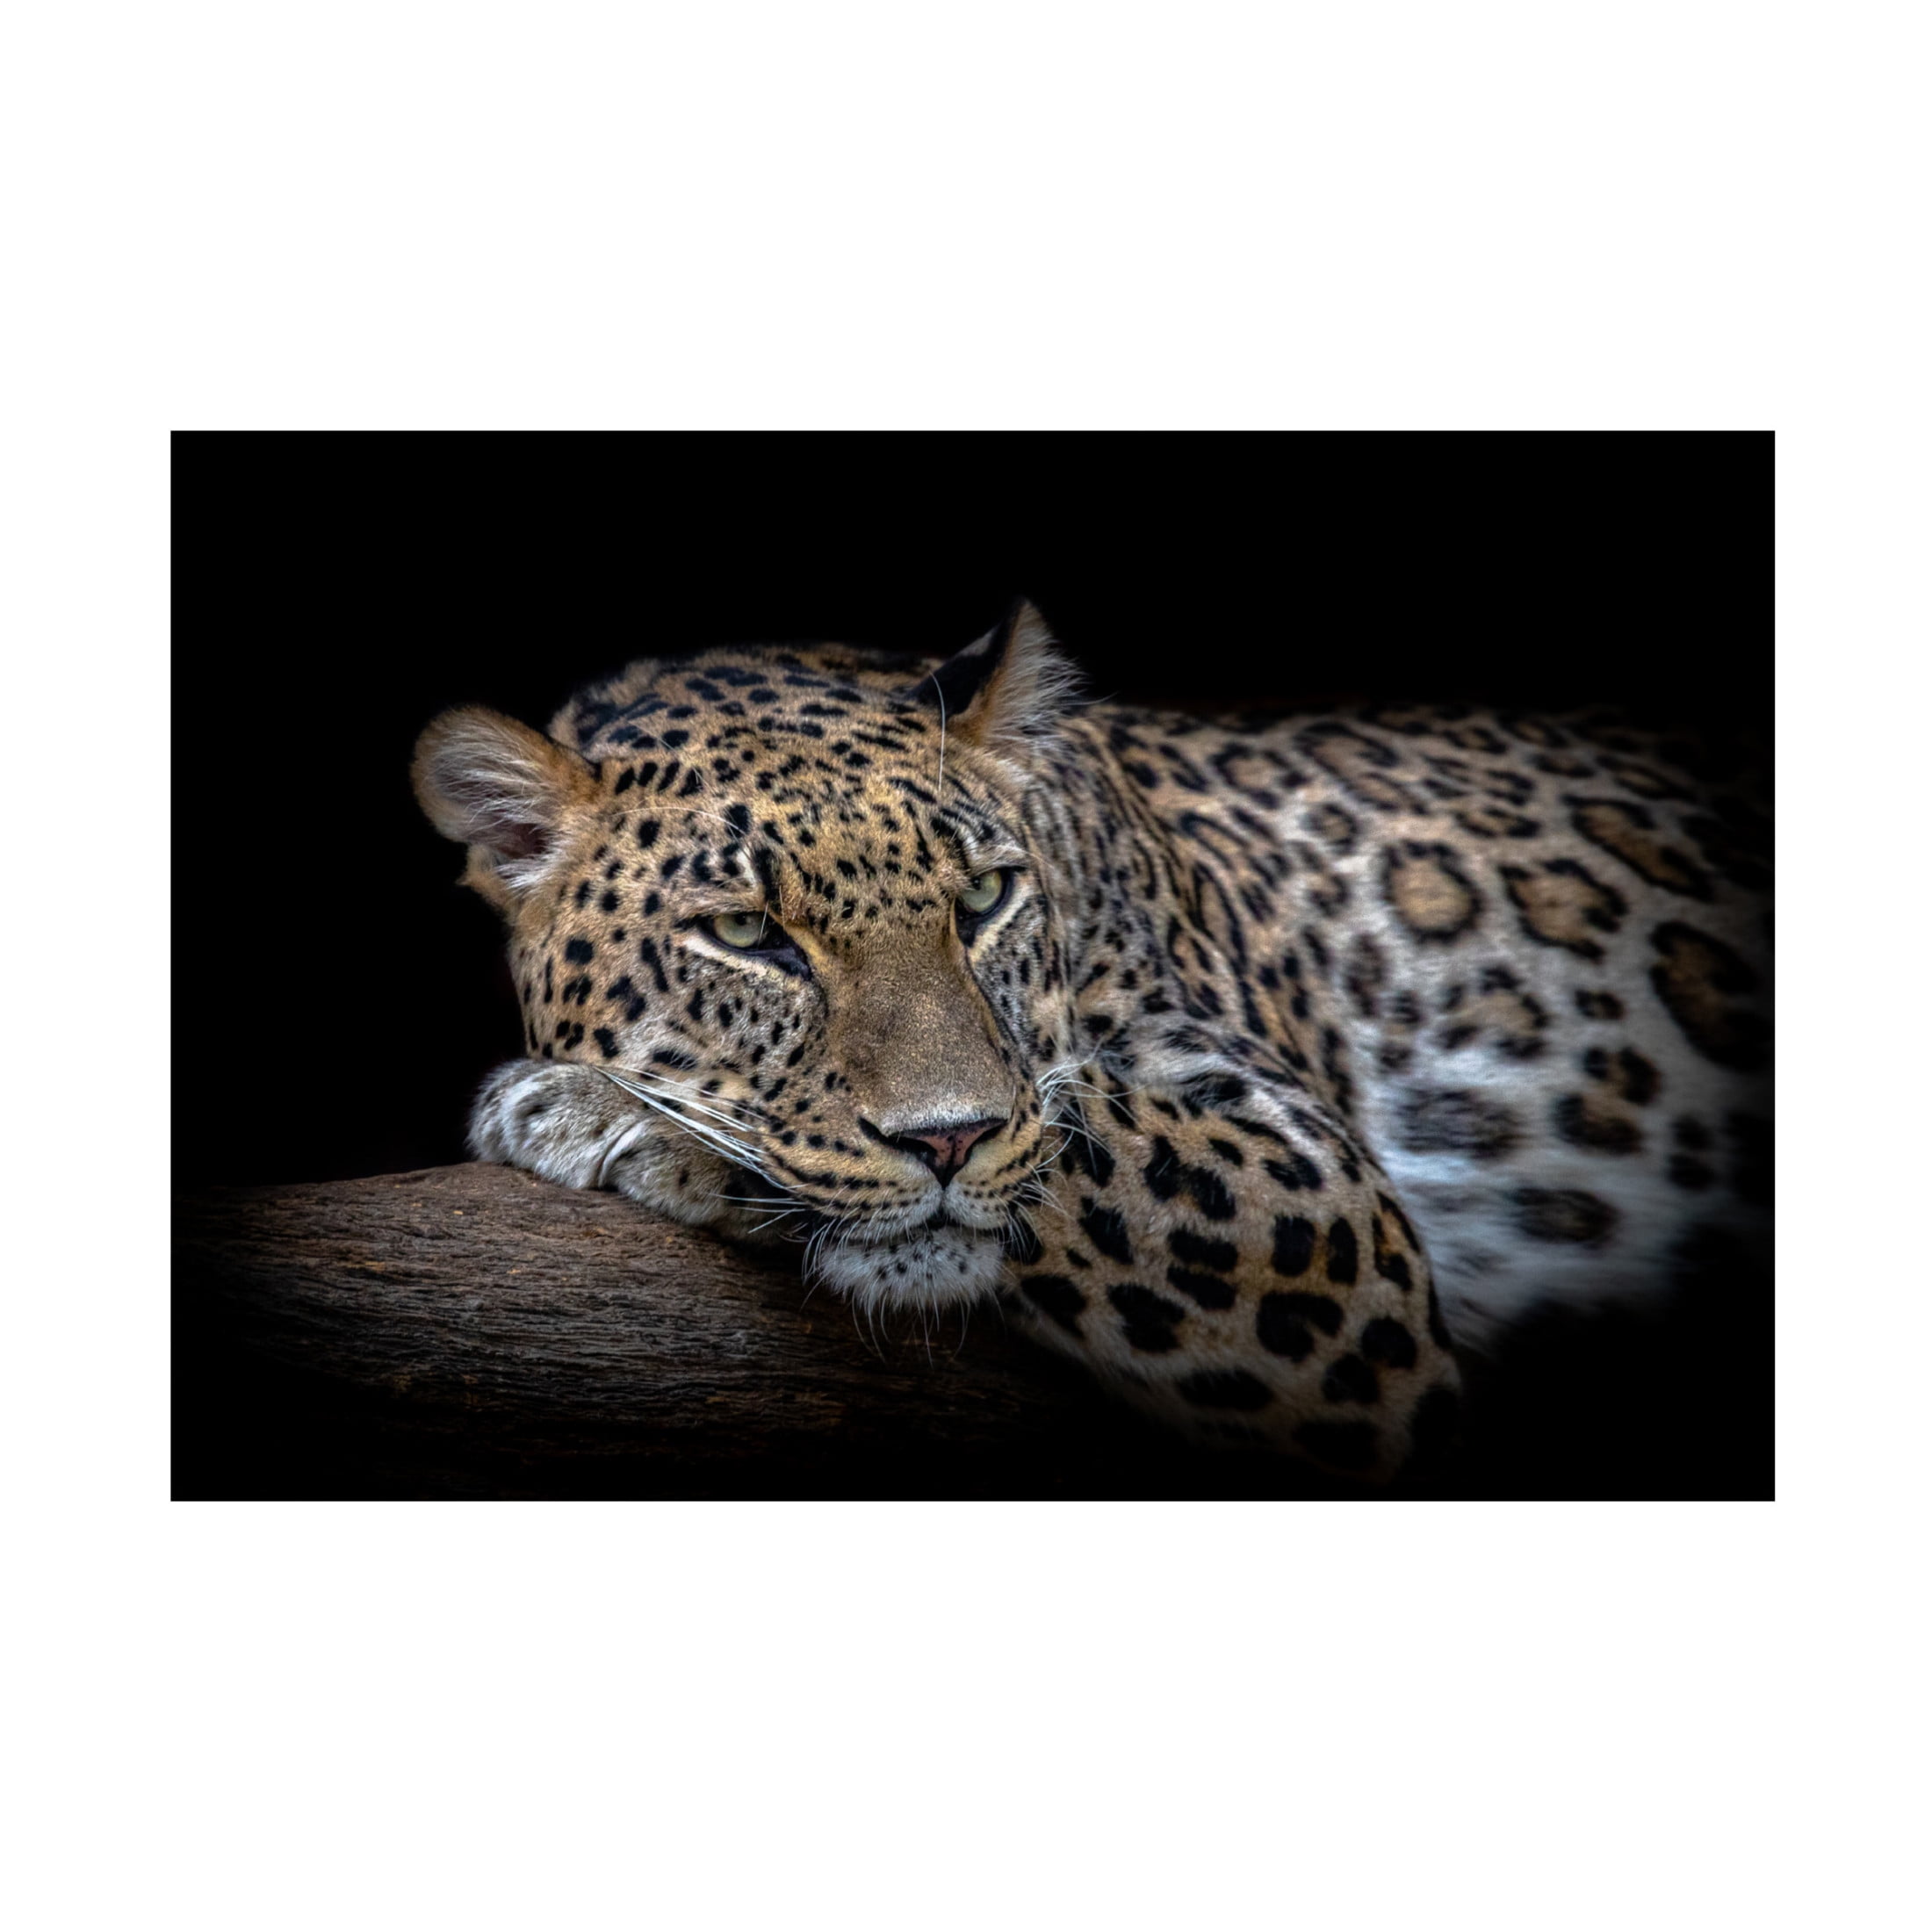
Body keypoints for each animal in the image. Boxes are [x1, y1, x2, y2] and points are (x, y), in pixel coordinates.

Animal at [412, 600, 1771, 1484]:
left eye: (982, 897)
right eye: (746, 932)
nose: (948, 1140)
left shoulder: (1320, 1207)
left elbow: (1074, 1134)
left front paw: (604, 1113)